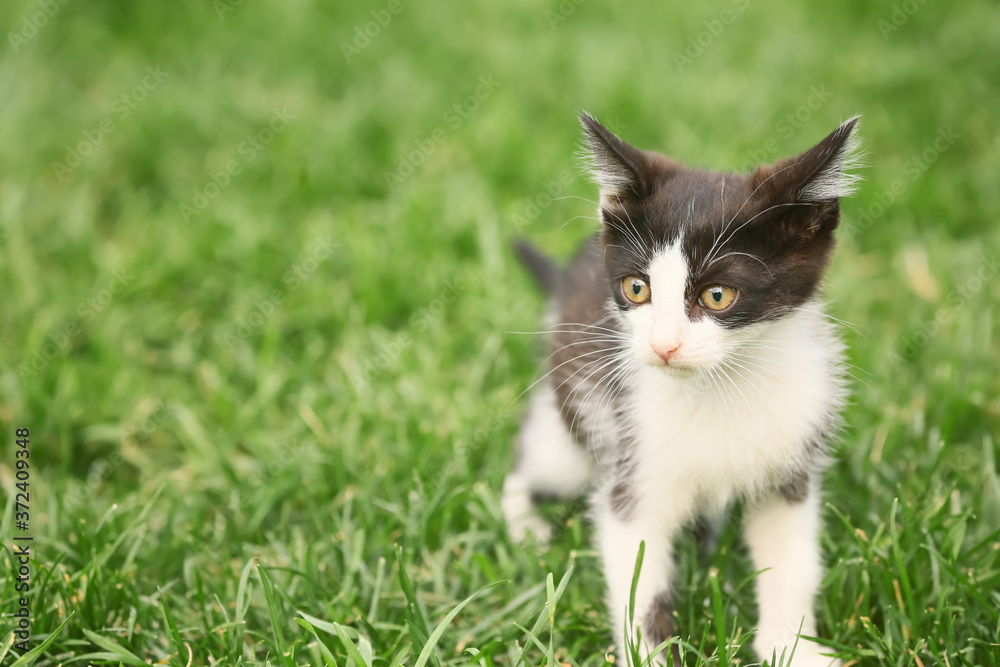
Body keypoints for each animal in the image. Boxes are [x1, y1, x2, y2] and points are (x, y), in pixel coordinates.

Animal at [508, 115, 860, 667]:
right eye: (636, 288)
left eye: (717, 295)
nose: (663, 344)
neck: (720, 385)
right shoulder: (632, 465)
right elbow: (639, 583)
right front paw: (651, 650)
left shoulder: (791, 464)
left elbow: (791, 563)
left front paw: (791, 646)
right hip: (573, 431)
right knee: (528, 464)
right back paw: (527, 527)